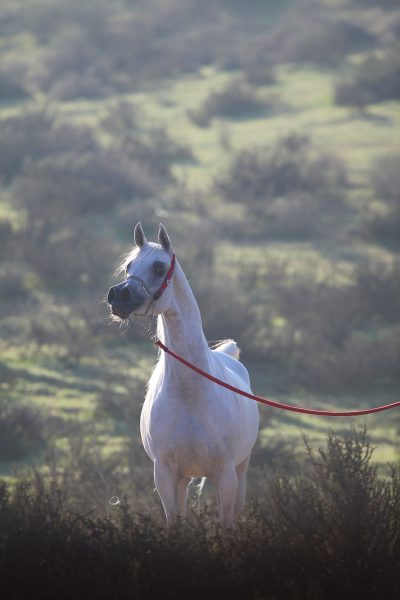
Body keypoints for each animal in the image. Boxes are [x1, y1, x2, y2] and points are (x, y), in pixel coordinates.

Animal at [107, 224, 260, 524]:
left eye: (159, 267)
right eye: (129, 265)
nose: (118, 296)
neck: (190, 394)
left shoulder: (225, 476)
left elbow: (226, 522)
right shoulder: (166, 476)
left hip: (241, 469)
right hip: (184, 480)